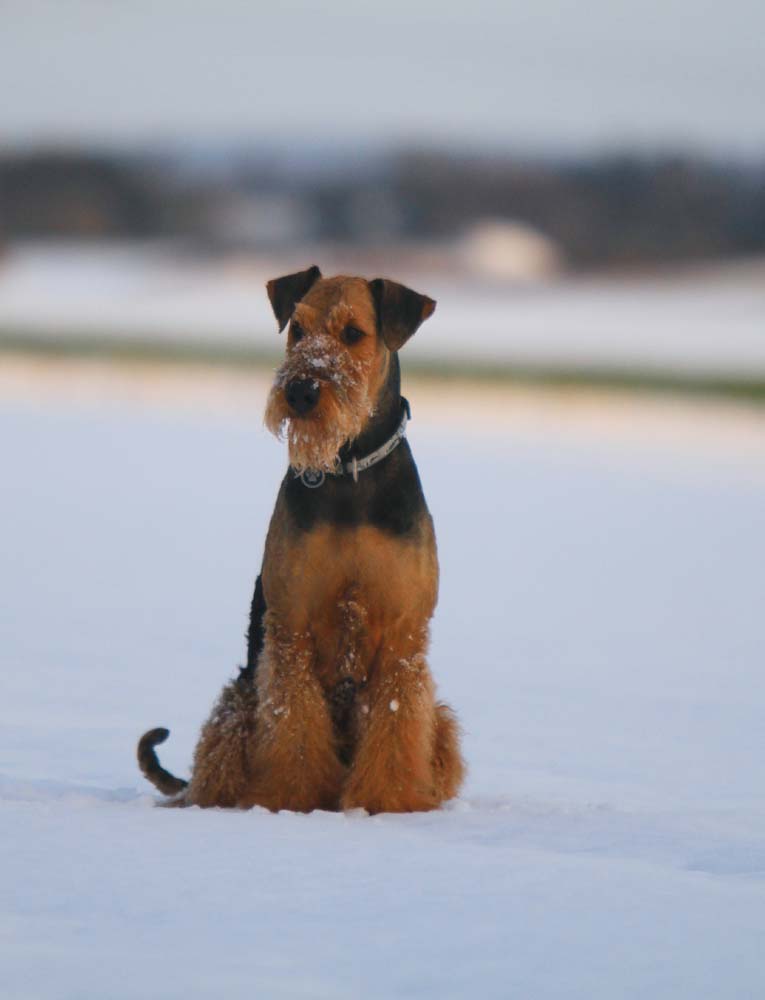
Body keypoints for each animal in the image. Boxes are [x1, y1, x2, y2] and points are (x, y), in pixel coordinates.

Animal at [136, 268, 466, 812]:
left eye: (352, 333)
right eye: (297, 328)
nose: (302, 391)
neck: (350, 471)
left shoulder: (402, 631)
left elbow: (395, 725)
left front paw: (386, 801)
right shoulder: (293, 623)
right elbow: (295, 726)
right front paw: (291, 800)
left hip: (439, 718)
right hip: (238, 700)